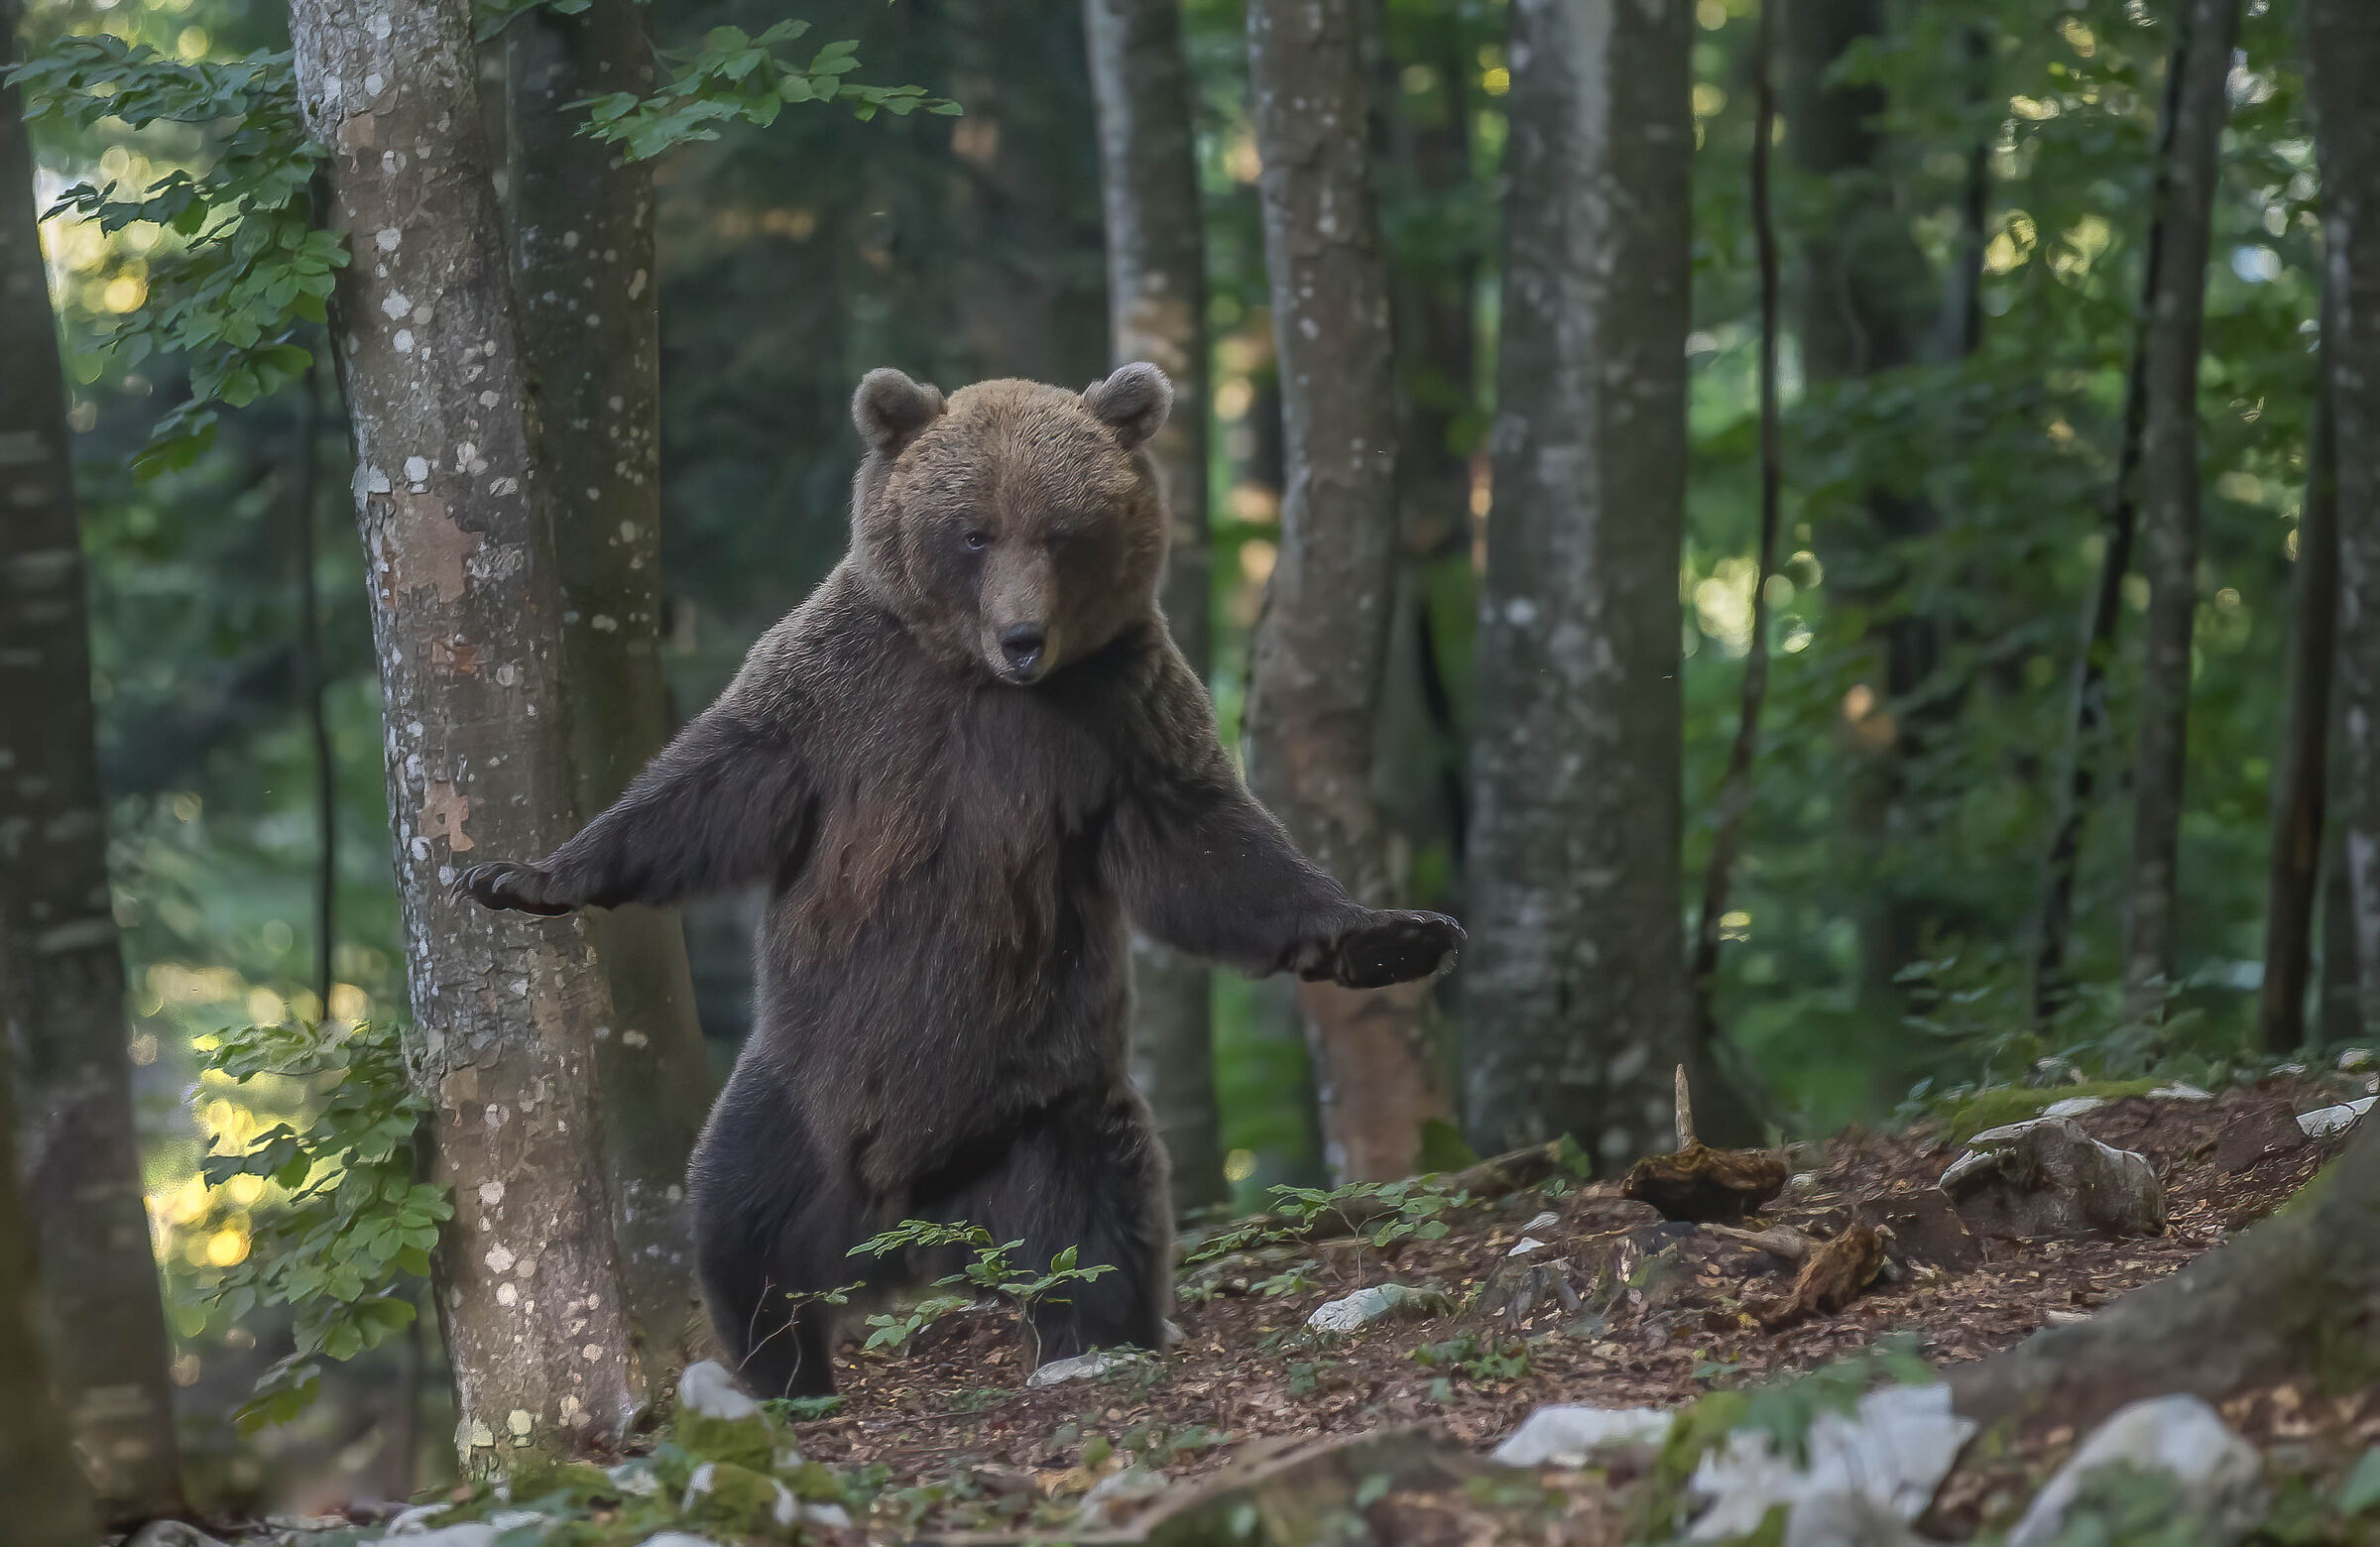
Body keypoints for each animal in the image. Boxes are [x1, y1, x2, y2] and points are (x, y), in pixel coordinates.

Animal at [459, 363, 1464, 1396]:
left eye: (1063, 532)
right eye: (973, 531)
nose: (1023, 637)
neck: (977, 682)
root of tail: (912, 1227)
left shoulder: (1119, 716)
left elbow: (1213, 848)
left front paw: (1392, 936)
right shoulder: (842, 695)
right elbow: (709, 786)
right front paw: (526, 874)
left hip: (1045, 1111)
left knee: (1094, 1234)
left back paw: (1093, 1339)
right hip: (800, 1101)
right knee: (743, 1226)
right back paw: (785, 1371)